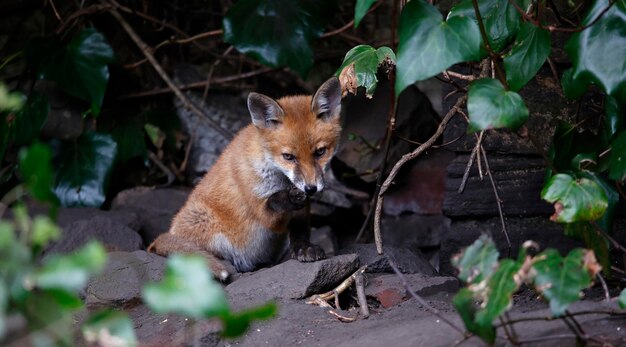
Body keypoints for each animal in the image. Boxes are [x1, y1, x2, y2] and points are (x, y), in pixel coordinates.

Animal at [146, 77, 342, 282]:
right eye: (288, 157)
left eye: (320, 152)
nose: (311, 188)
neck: (278, 175)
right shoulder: (262, 208)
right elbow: (273, 205)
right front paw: (287, 198)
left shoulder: (302, 208)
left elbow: (300, 231)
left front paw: (304, 248)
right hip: (204, 223)